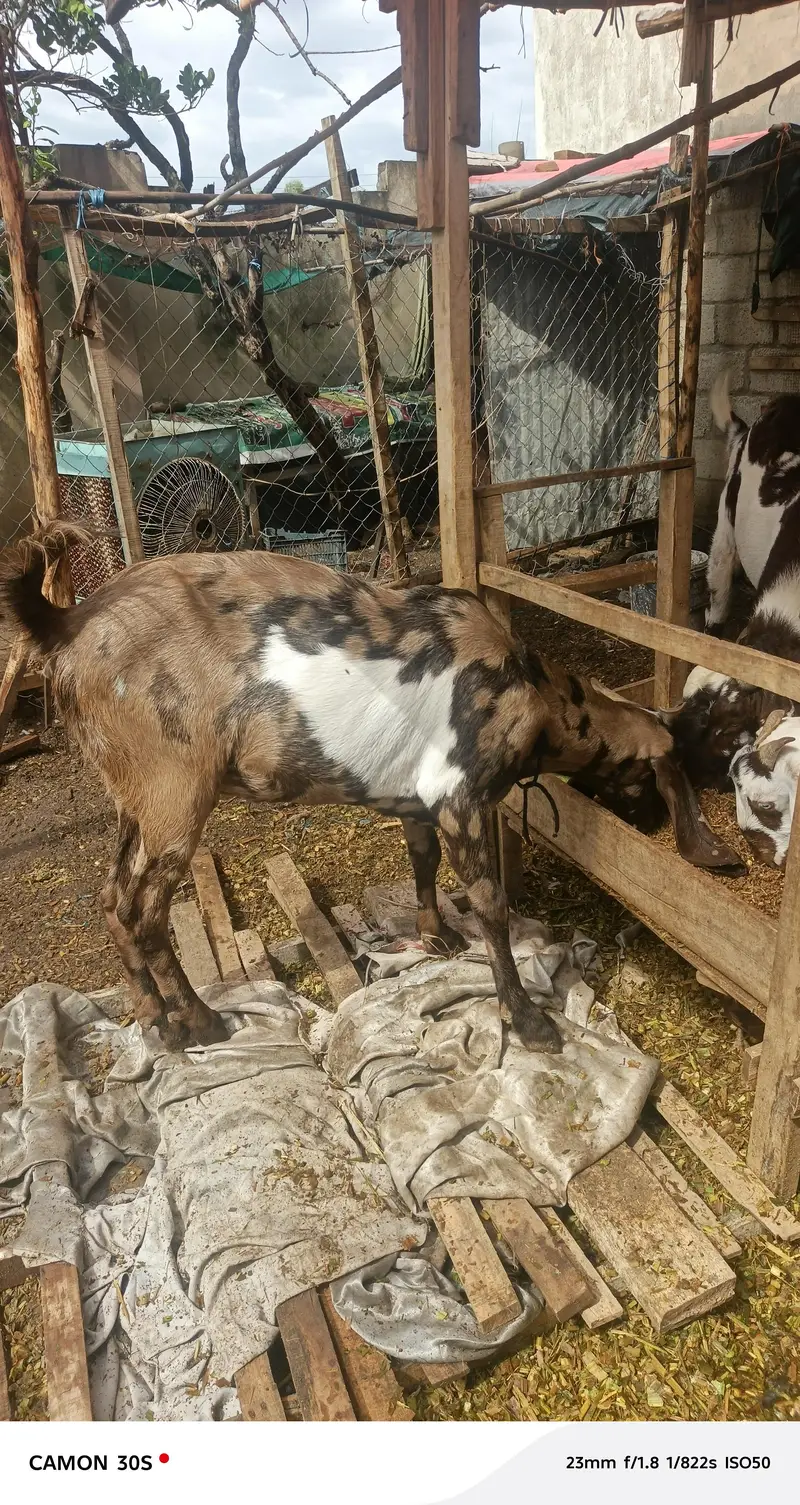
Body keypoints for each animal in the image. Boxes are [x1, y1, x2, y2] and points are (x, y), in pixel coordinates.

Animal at [0, 523, 743, 1056]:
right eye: (654, 778)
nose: (649, 825)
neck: (534, 693)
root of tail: (68, 625)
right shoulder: (461, 794)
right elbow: (492, 904)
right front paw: (528, 1020)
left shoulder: (415, 796)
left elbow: (421, 858)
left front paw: (435, 937)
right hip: (174, 790)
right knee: (144, 911)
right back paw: (201, 1022)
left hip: (135, 796)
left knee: (112, 899)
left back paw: (155, 1020)